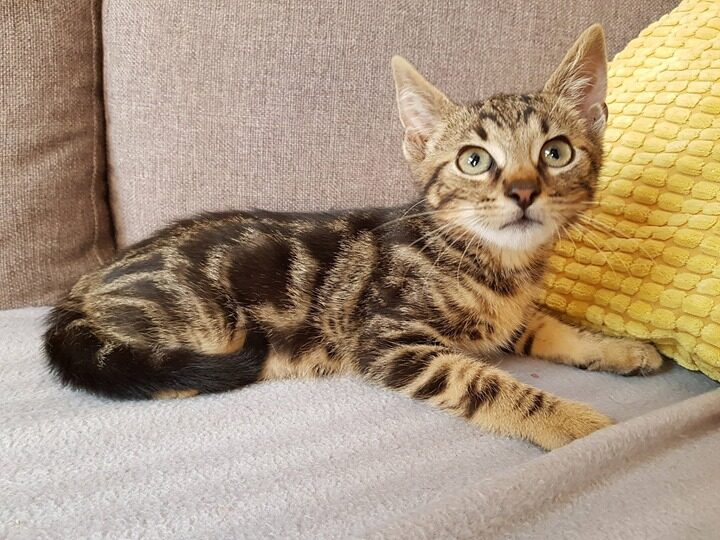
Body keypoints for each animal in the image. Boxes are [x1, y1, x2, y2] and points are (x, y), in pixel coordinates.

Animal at [44, 25, 662, 450]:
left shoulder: (508, 320)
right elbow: (487, 385)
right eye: (474, 160)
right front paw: (575, 421)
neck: (497, 265)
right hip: (207, 324)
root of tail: (83, 286)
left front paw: (618, 348)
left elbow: (547, 326)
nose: (523, 190)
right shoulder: (390, 340)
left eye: (556, 152)